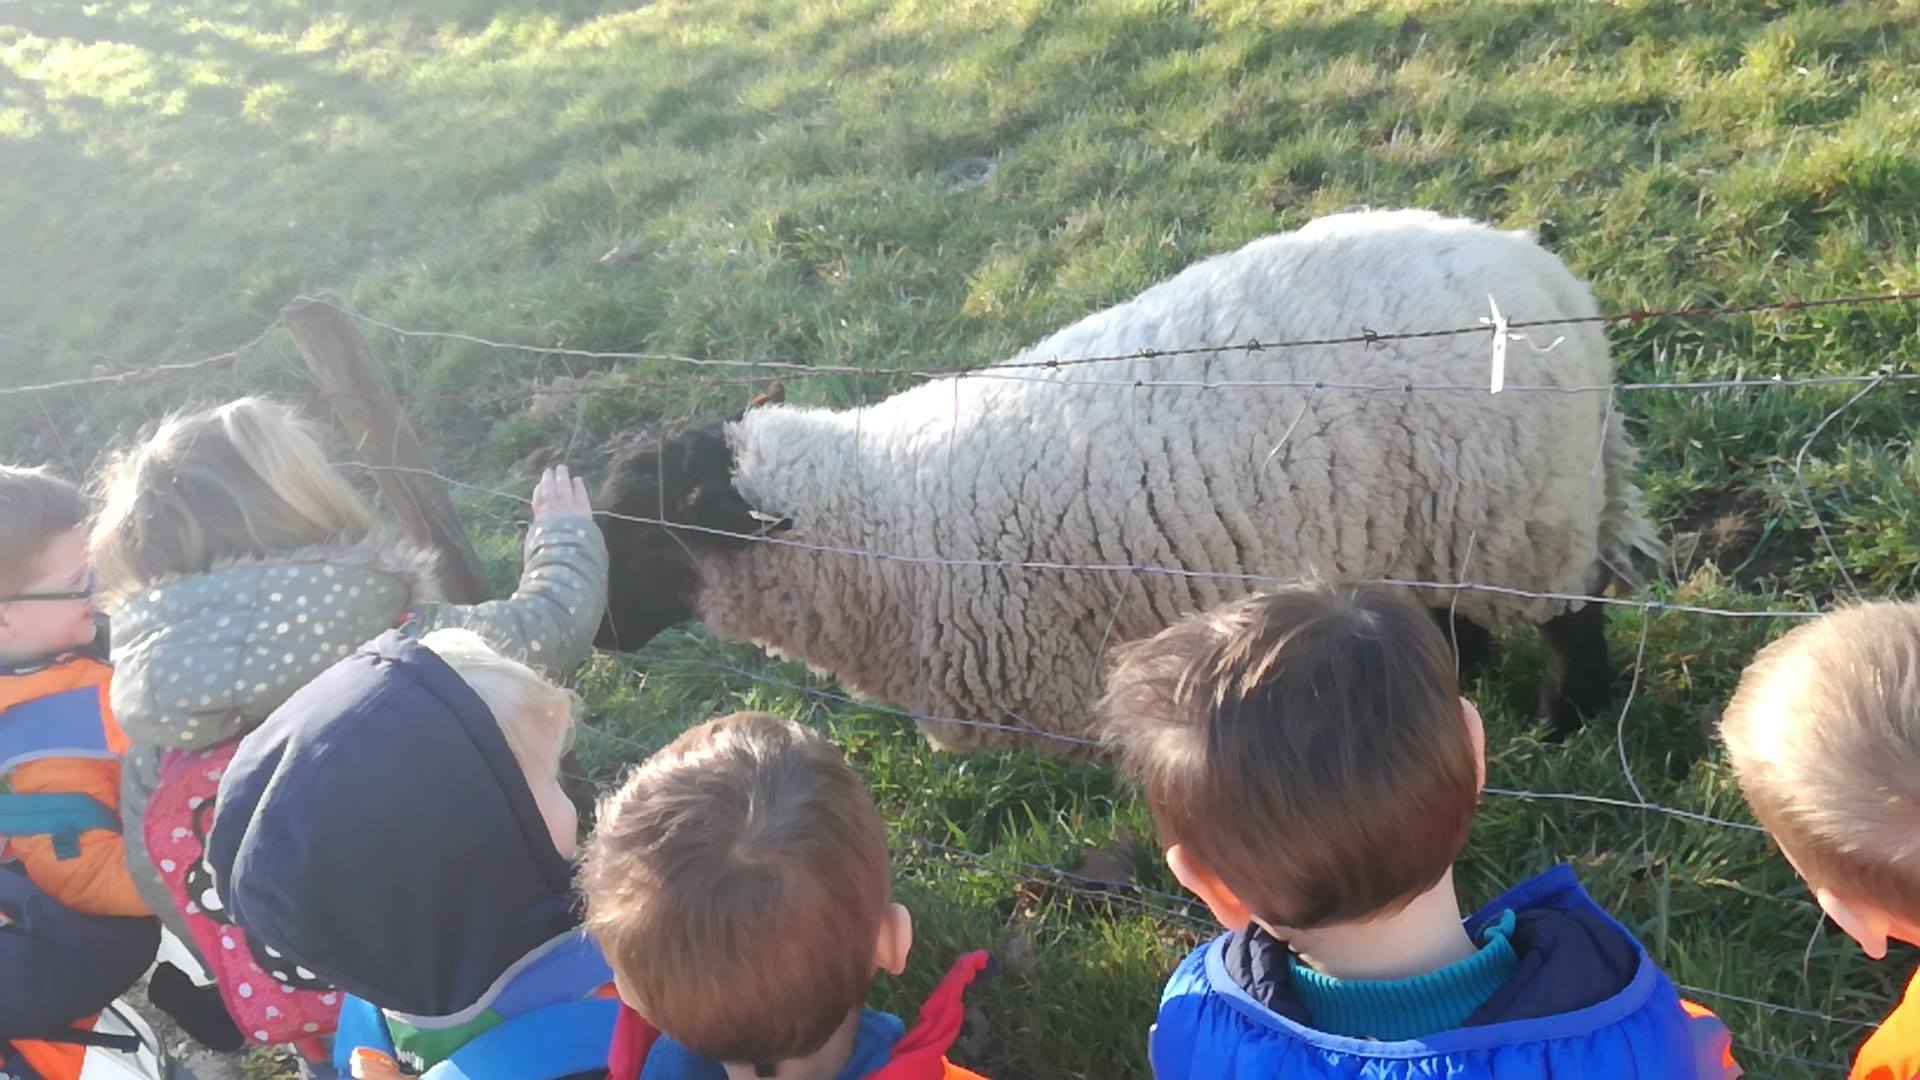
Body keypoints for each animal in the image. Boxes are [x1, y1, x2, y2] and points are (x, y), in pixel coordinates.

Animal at [595, 208, 1666, 749]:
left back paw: (1564, 724)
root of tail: (1545, 272)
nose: (598, 636)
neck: (885, 521)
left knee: (1574, 612)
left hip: (1522, 508)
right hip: (1422, 512)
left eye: (642, 531)